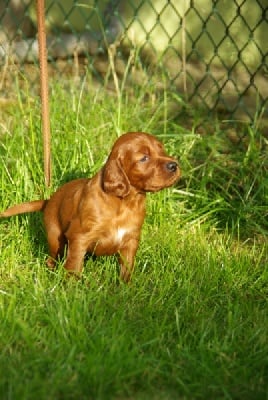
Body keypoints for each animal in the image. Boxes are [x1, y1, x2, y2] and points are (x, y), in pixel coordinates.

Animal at [1, 132, 180, 282]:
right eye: (143, 158)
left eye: (162, 150)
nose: (174, 165)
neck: (124, 202)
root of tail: (49, 200)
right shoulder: (80, 236)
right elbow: (74, 266)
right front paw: (71, 289)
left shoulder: (131, 240)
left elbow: (127, 268)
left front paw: (125, 287)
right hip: (55, 236)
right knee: (52, 258)